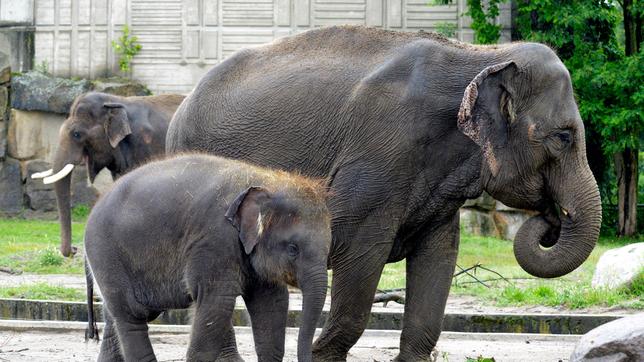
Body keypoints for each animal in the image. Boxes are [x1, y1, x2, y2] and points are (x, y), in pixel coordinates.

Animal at [85, 154, 332, 360]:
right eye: (293, 248)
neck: (265, 180)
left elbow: (272, 305)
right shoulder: (213, 241)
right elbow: (217, 304)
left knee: (113, 320)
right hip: (106, 253)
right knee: (131, 316)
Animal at [165, 26, 600, 362]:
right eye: (563, 137)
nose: (550, 219)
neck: (482, 54)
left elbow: (438, 258)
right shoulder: (379, 155)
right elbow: (360, 250)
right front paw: (321, 354)